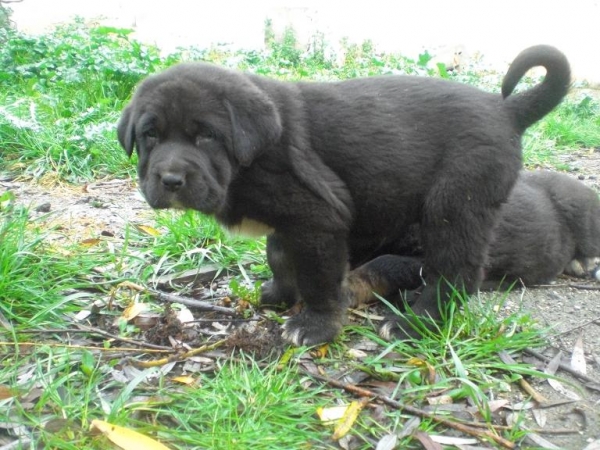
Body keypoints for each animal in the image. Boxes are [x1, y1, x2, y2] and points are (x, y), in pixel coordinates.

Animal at [118, 44, 572, 344]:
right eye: (150, 135)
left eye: (207, 136)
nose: (170, 180)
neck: (250, 159)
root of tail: (505, 109)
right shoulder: (292, 222)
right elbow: (280, 256)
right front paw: (280, 295)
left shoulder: (318, 217)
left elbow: (319, 277)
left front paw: (315, 325)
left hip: (455, 204)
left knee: (456, 271)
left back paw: (415, 323)